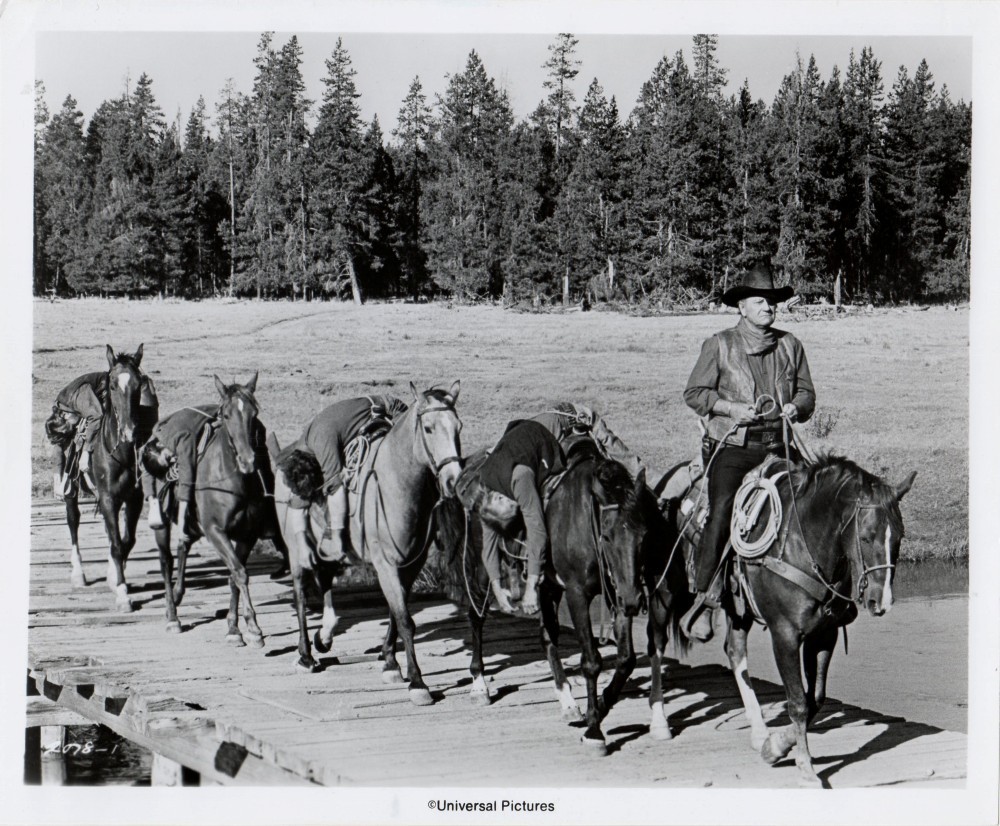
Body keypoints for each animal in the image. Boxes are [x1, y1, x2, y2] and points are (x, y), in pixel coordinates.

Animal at [63, 342, 146, 612]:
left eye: (139, 385)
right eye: (112, 385)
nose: (130, 431)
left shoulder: (134, 499)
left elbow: (125, 541)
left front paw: (114, 578)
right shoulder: (108, 498)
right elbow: (117, 543)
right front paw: (122, 594)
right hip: (71, 487)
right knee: (73, 521)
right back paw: (78, 574)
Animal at [153, 370, 286, 648]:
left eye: (254, 414)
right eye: (226, 415)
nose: (248, 461)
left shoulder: (247, 535)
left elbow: (235, 576)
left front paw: (234, 628)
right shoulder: (216, 531)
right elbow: (240, 573)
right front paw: (254, 627)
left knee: (183, 546)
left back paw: (179, 594)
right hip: (161, 522)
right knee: (166, 561)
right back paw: (172, 615)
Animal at [442, 444, 668, 752]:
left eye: (644, 535)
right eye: (608, 536)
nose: (635, 600)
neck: (585, 519)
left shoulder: (617, 592)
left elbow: (626, 660)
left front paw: (599, 706)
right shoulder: (577, 593)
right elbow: (591, 661)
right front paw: (594, 729)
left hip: (549, 586)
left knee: (547, 636)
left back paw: (567, 700)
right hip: (481, 569)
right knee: (477, 616)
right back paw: (479, 683)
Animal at [652, 458, 916, 784]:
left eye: (900, 536)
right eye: (866, 536)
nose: (883, 602)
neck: (803, 545)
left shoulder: (823, 634)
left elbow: (815, 697)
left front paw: (774, 747)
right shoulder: (785, 635)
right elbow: (798, 702)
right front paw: (805, 767)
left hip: (738, 610)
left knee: (735, 652)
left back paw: (758, 733)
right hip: (664, 590)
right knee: (656, 644)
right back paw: (659, 723)